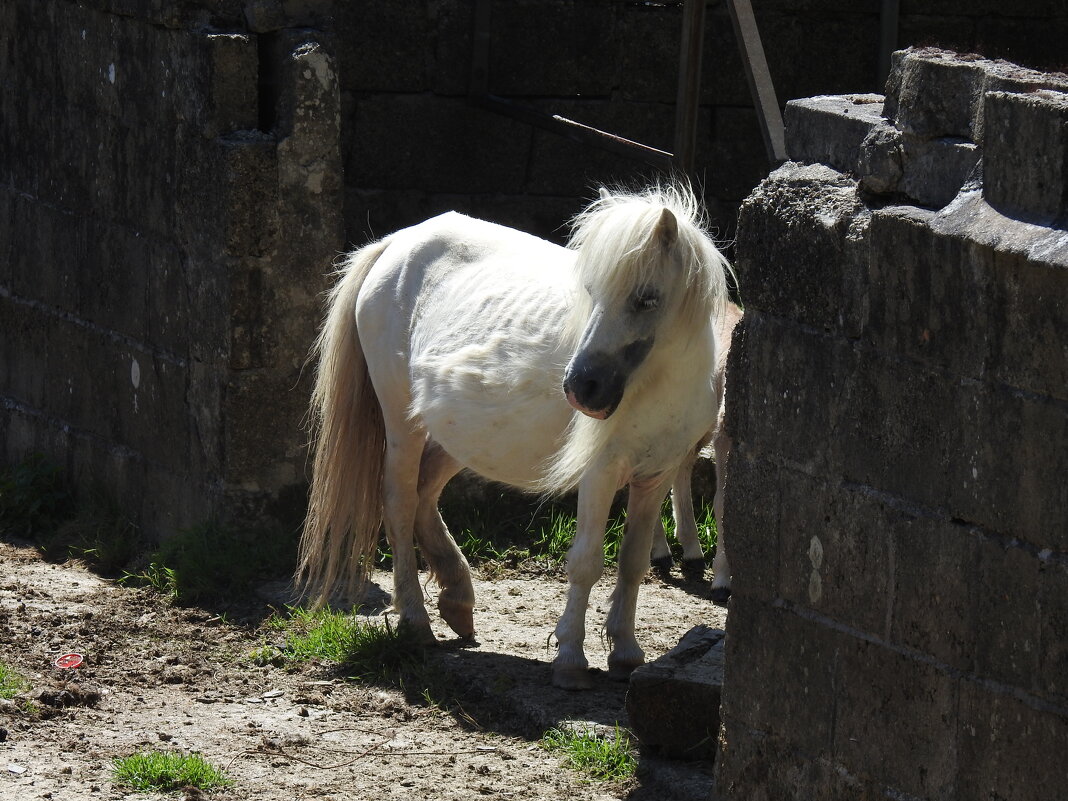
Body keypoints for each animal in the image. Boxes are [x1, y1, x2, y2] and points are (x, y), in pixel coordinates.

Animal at [301, 181, 734, 692]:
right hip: (403, 425)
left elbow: (632, 563)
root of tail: (396, 244)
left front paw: (626, 654)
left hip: (458, 436)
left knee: (425, 494)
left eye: (646, 299)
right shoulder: (602, 473)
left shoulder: (654, 476)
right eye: (591, 292)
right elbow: (587, 563)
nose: (581, 387)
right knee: (400, 502)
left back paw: (458, 600)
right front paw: (570, 660)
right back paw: (417, 621)